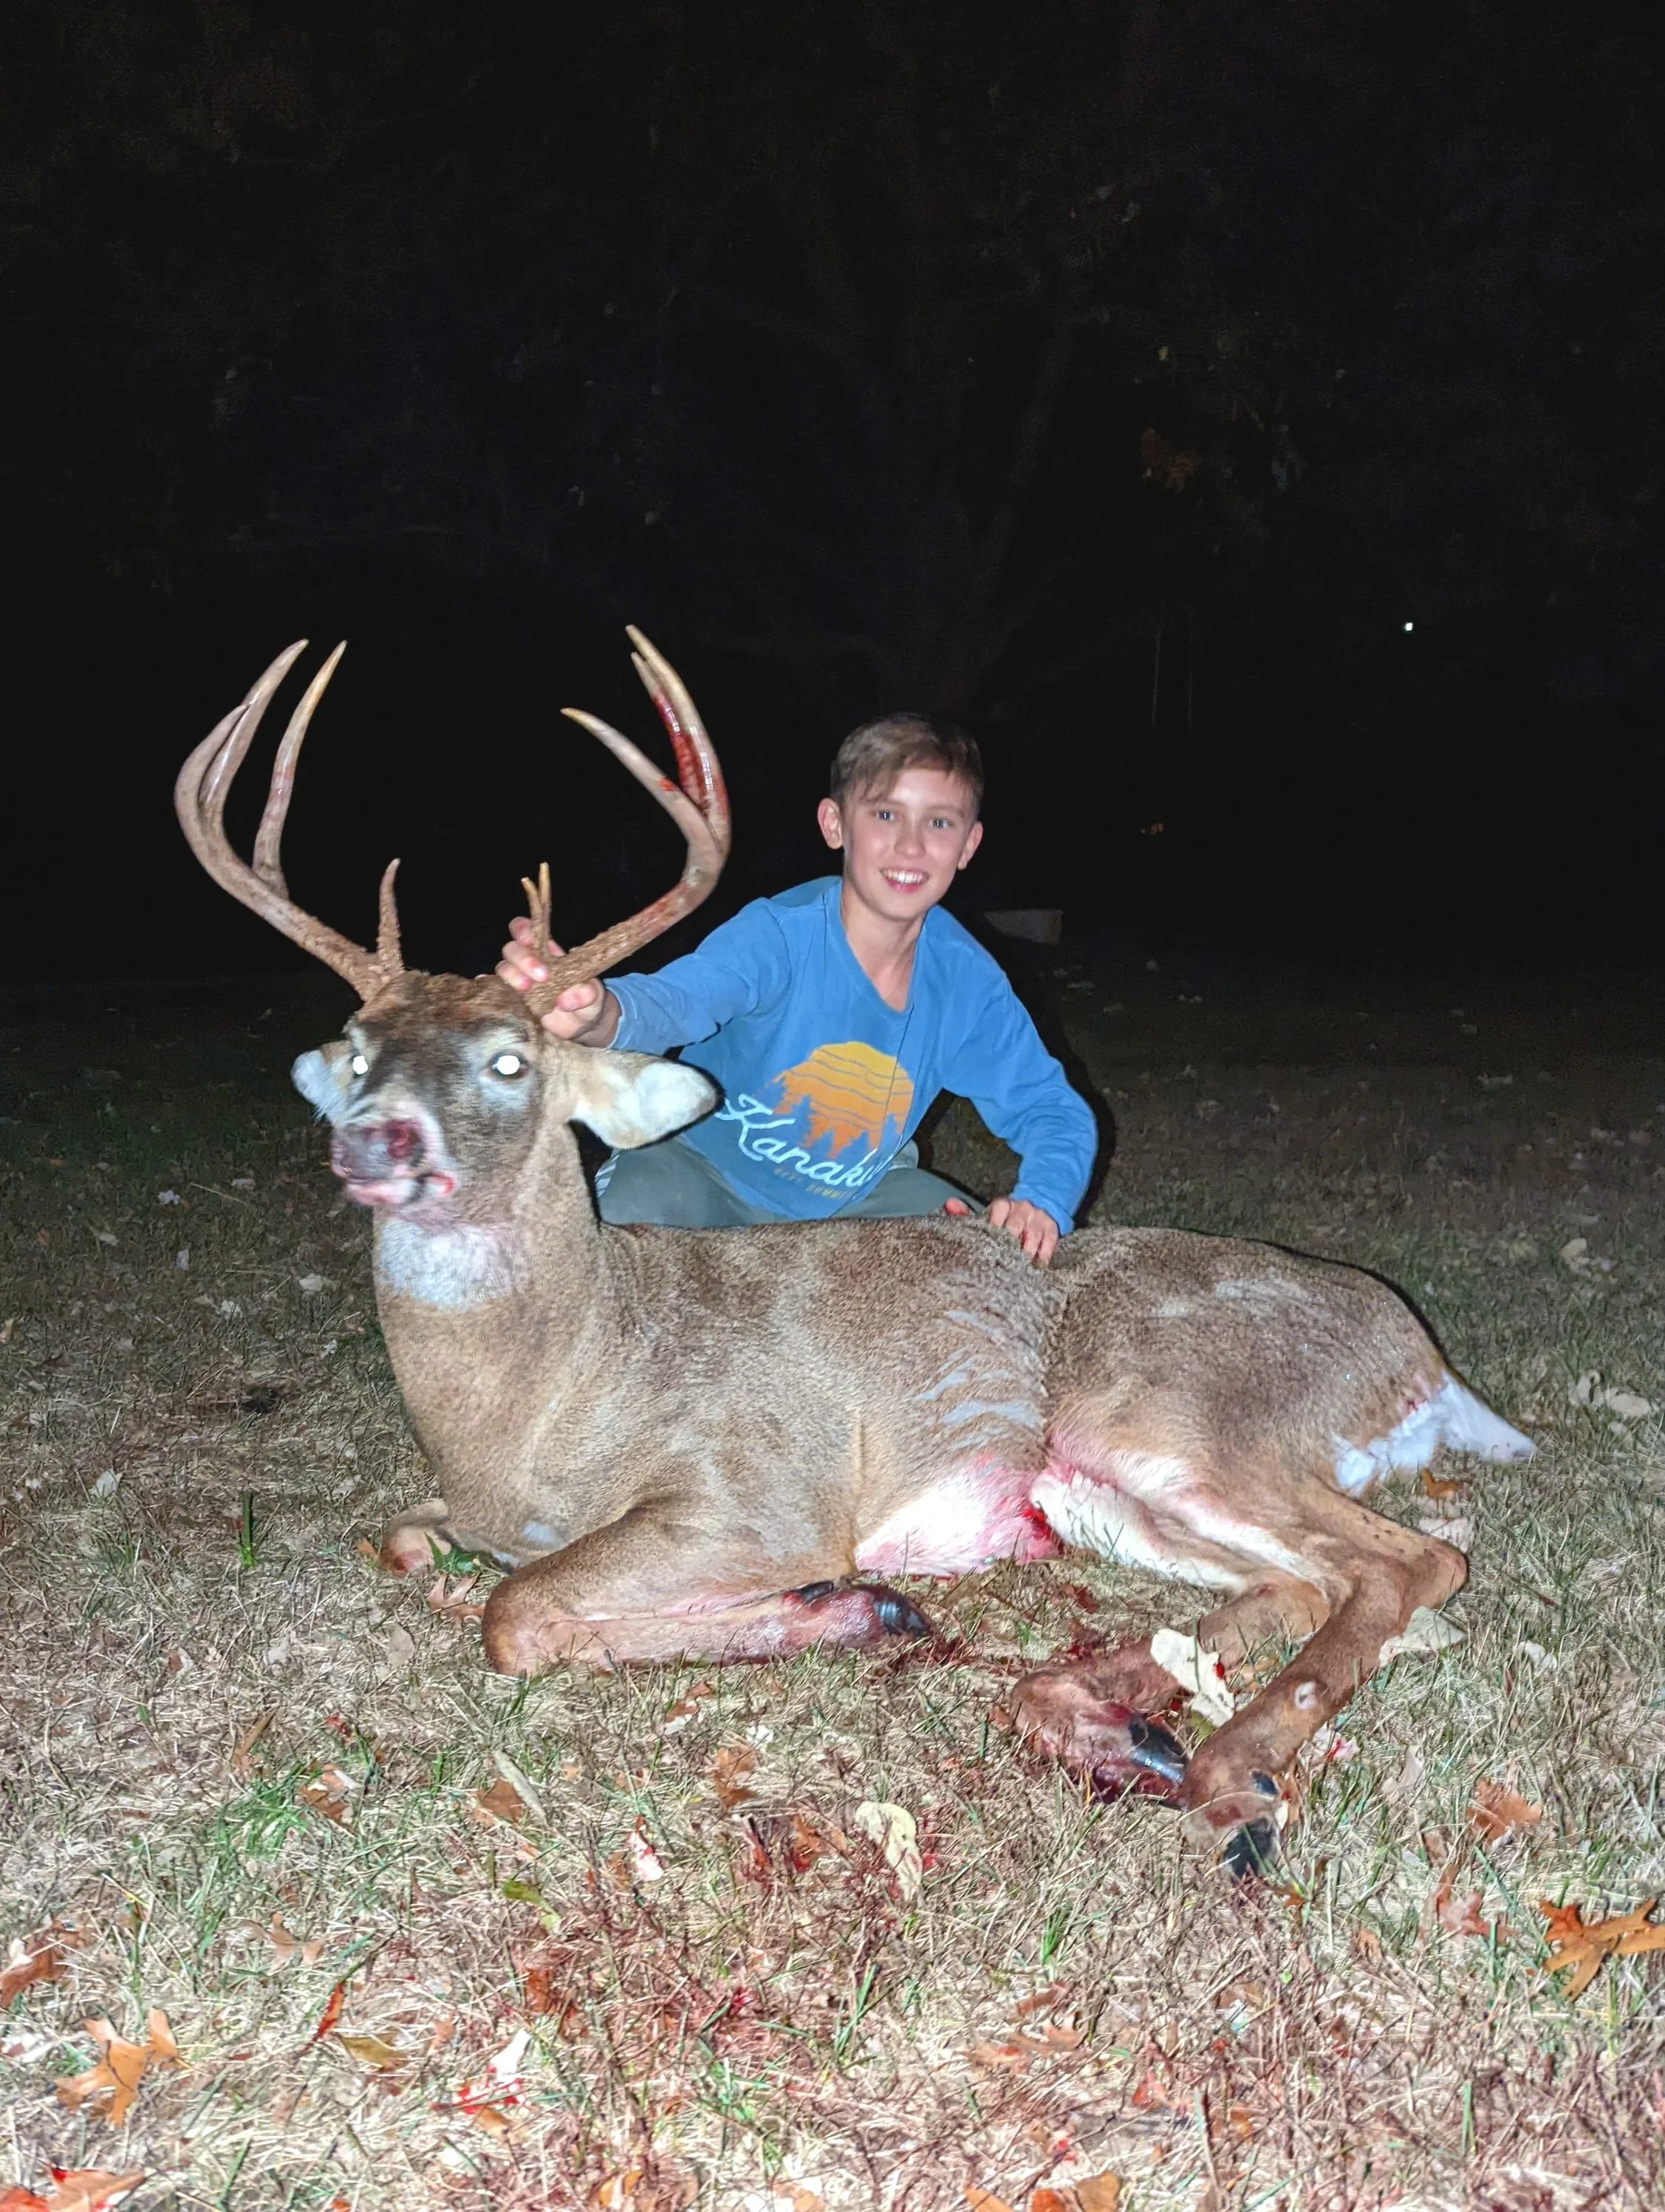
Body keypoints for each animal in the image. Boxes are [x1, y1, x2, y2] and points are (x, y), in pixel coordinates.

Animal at [176, 633, 1532, 1870]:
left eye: (512, 1059)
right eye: (357, 1047)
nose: (374, 1135)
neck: (542, 1404)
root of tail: (1419, 1354)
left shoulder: (761, 1491)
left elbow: (516, 1612)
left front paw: (830, 1603)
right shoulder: (465, 1506)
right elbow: (416, 1546)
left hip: (1173, 1407)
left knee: (1412, 1560)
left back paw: (1222, 1772)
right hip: (1104, 1492)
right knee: (1309, 1584)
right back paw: (1104, 1719)